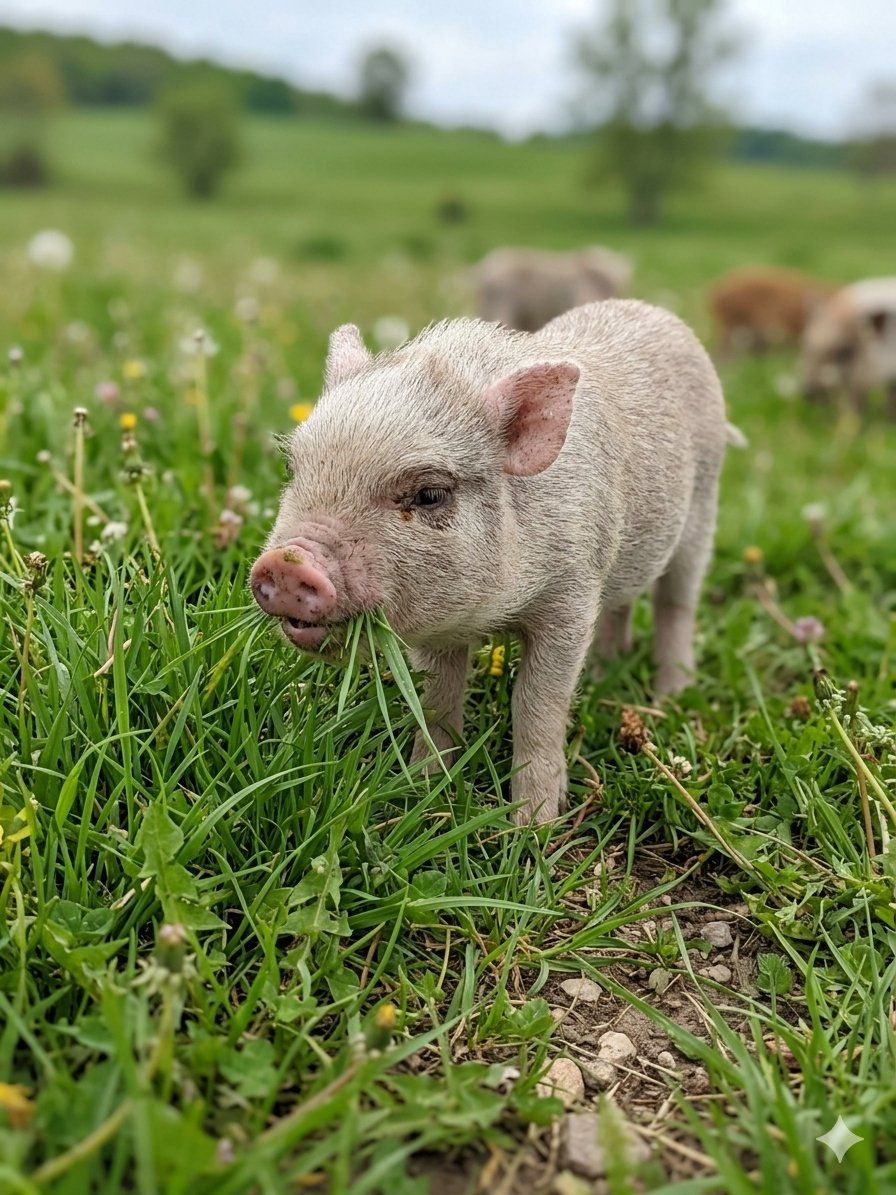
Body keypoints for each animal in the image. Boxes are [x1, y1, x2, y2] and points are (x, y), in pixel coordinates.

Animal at [250, 300, 739, 825]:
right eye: (293, 469)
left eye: (429, 494)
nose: (288, 562)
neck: (495, 612)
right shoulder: (442, 628)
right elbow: (438, 699)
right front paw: (423, 792)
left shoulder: (571, 595)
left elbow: (537, 702)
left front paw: (533, 824)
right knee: (621, 604)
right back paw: (605, 670)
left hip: (703, 510)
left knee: (676, 604)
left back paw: (671, 695)